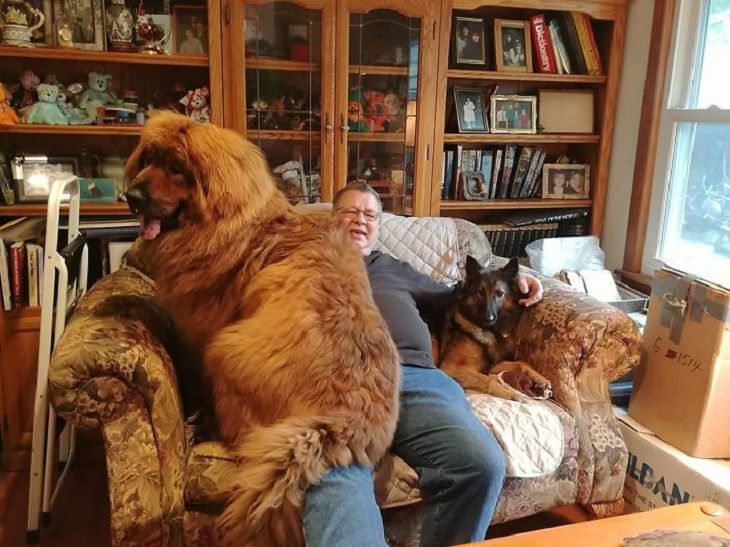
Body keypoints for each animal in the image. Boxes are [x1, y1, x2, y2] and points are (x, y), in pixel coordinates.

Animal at [125, 113, 398, 544]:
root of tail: (348, 421)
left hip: (225, 349)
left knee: (240, 435)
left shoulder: (204, 333)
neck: (235, 226)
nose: (131, 196)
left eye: (176, 168)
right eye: (148, 159)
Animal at [436, 256, 548, 402]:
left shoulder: (492, 367)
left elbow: (521, 362)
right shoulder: (450, 367)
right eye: (480, 292)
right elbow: (486, 379)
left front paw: (540, 378)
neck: (488, 331)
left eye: (499, 293)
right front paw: (510, 393)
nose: (488, 318)